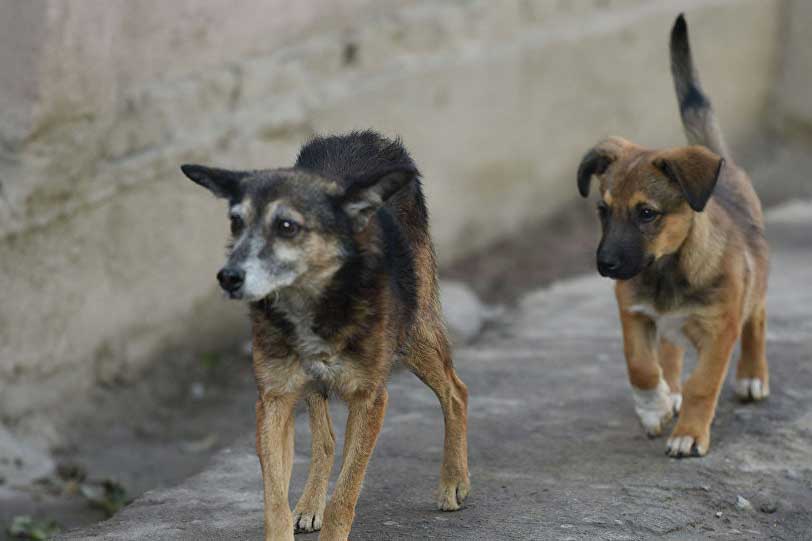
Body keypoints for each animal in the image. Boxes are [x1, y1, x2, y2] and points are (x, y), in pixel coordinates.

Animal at [576, 14, 768, 458]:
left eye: (647, 213)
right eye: (602, 211)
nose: (604, 264)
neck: (667, 269)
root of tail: (723, 164)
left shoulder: (720, 329)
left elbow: (703, 385)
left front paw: (689, 434)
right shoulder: (633, 312)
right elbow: (641, 366)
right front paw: (655, 406)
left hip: (756, 286)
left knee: (757, 319)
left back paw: (752, 375)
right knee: (669, 350)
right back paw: (670, 391)